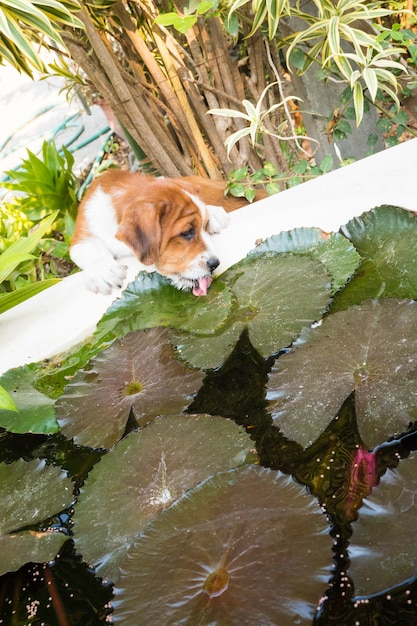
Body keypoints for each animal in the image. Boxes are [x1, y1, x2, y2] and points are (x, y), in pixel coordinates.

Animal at [70, 171, 262, 298]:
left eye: (203, 227)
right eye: (186, 232)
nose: (215, 264)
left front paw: (212, 214)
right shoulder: (83, 231)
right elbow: (85, 249)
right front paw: (102, 270)